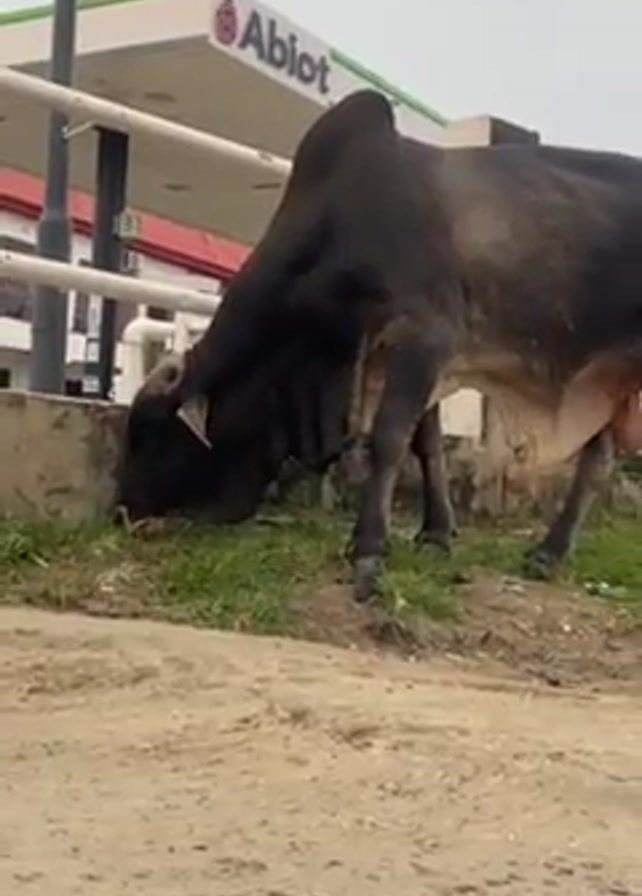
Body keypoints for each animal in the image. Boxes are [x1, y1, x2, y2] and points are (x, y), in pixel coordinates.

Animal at [116, 89, 642, 602]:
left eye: (151, 434)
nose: (122, 510)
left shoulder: (423, 335)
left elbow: (388, 439)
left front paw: (368, 551)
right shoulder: (406, 356)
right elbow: (426, 445)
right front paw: (436, 535)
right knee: (598, 461)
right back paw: (549, 553)